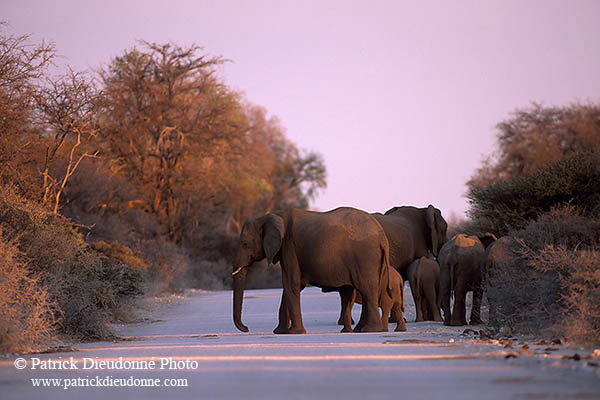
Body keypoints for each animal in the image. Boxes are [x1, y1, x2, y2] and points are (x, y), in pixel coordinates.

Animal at [232, 206, 392, 334]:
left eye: (245, 244)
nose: (247, 328)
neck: (271, 215)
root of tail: (382, 236)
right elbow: (289, 287)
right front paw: (279, 332)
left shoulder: (289, 246)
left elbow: (291, 284)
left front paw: (294, 333)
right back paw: (360, 330)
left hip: (364, 257)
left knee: (366, 289)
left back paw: (370, 330)